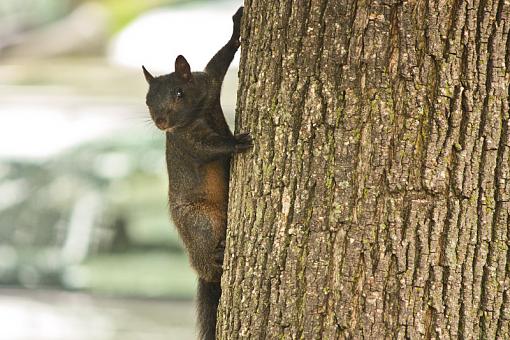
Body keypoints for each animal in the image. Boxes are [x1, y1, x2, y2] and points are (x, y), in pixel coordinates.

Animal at [141, 5, 251, 340]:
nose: (161, 122)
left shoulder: (209, 82)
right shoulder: (187, 141)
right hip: (200, 221)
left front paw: (236, 27)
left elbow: (221, 59)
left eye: (179, 92)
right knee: (205, 254)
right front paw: (235, 142)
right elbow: (209, 149)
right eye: (147, 100)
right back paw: (216, 257)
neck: (198, 112)